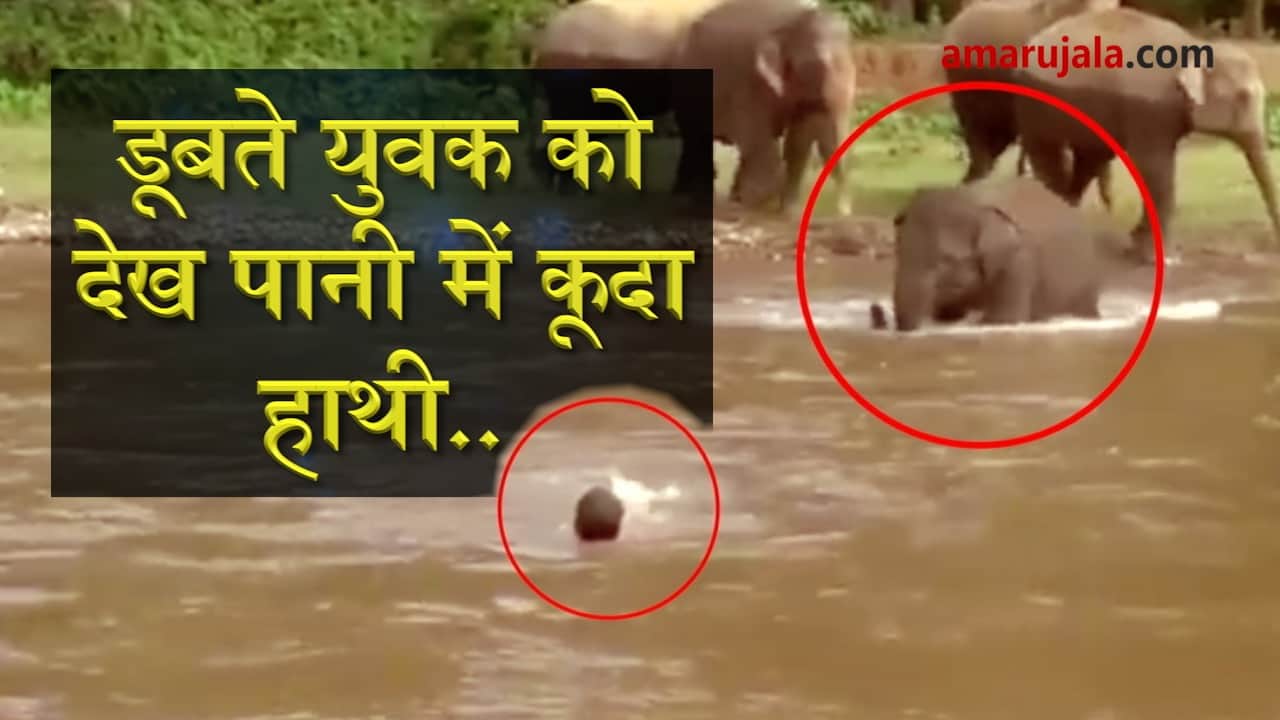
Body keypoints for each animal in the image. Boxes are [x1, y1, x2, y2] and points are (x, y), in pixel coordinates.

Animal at [671, 0, 858, 216]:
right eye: (819, 63)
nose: (844, 212)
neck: (797, 20)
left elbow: (799, 141)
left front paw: (787, 212)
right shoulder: (749, 78)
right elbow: (757, 137)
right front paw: (758, 203)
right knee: (697, 138)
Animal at [877, 176, 1112, 332]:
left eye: (946, 260)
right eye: (897, 251)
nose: (878, 311)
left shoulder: (1019, 263)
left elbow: (1001, 321)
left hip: (1085, 282)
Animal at [1014, 7, 1280, 261]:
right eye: (1243, 97)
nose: (1273, 245)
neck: (1195, 45)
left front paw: (1137, 245)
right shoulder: (1148, 109)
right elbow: (1155, 170)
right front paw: (1159, 257)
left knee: (1090, 160)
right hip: (1035, 102)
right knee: (1048, 154)